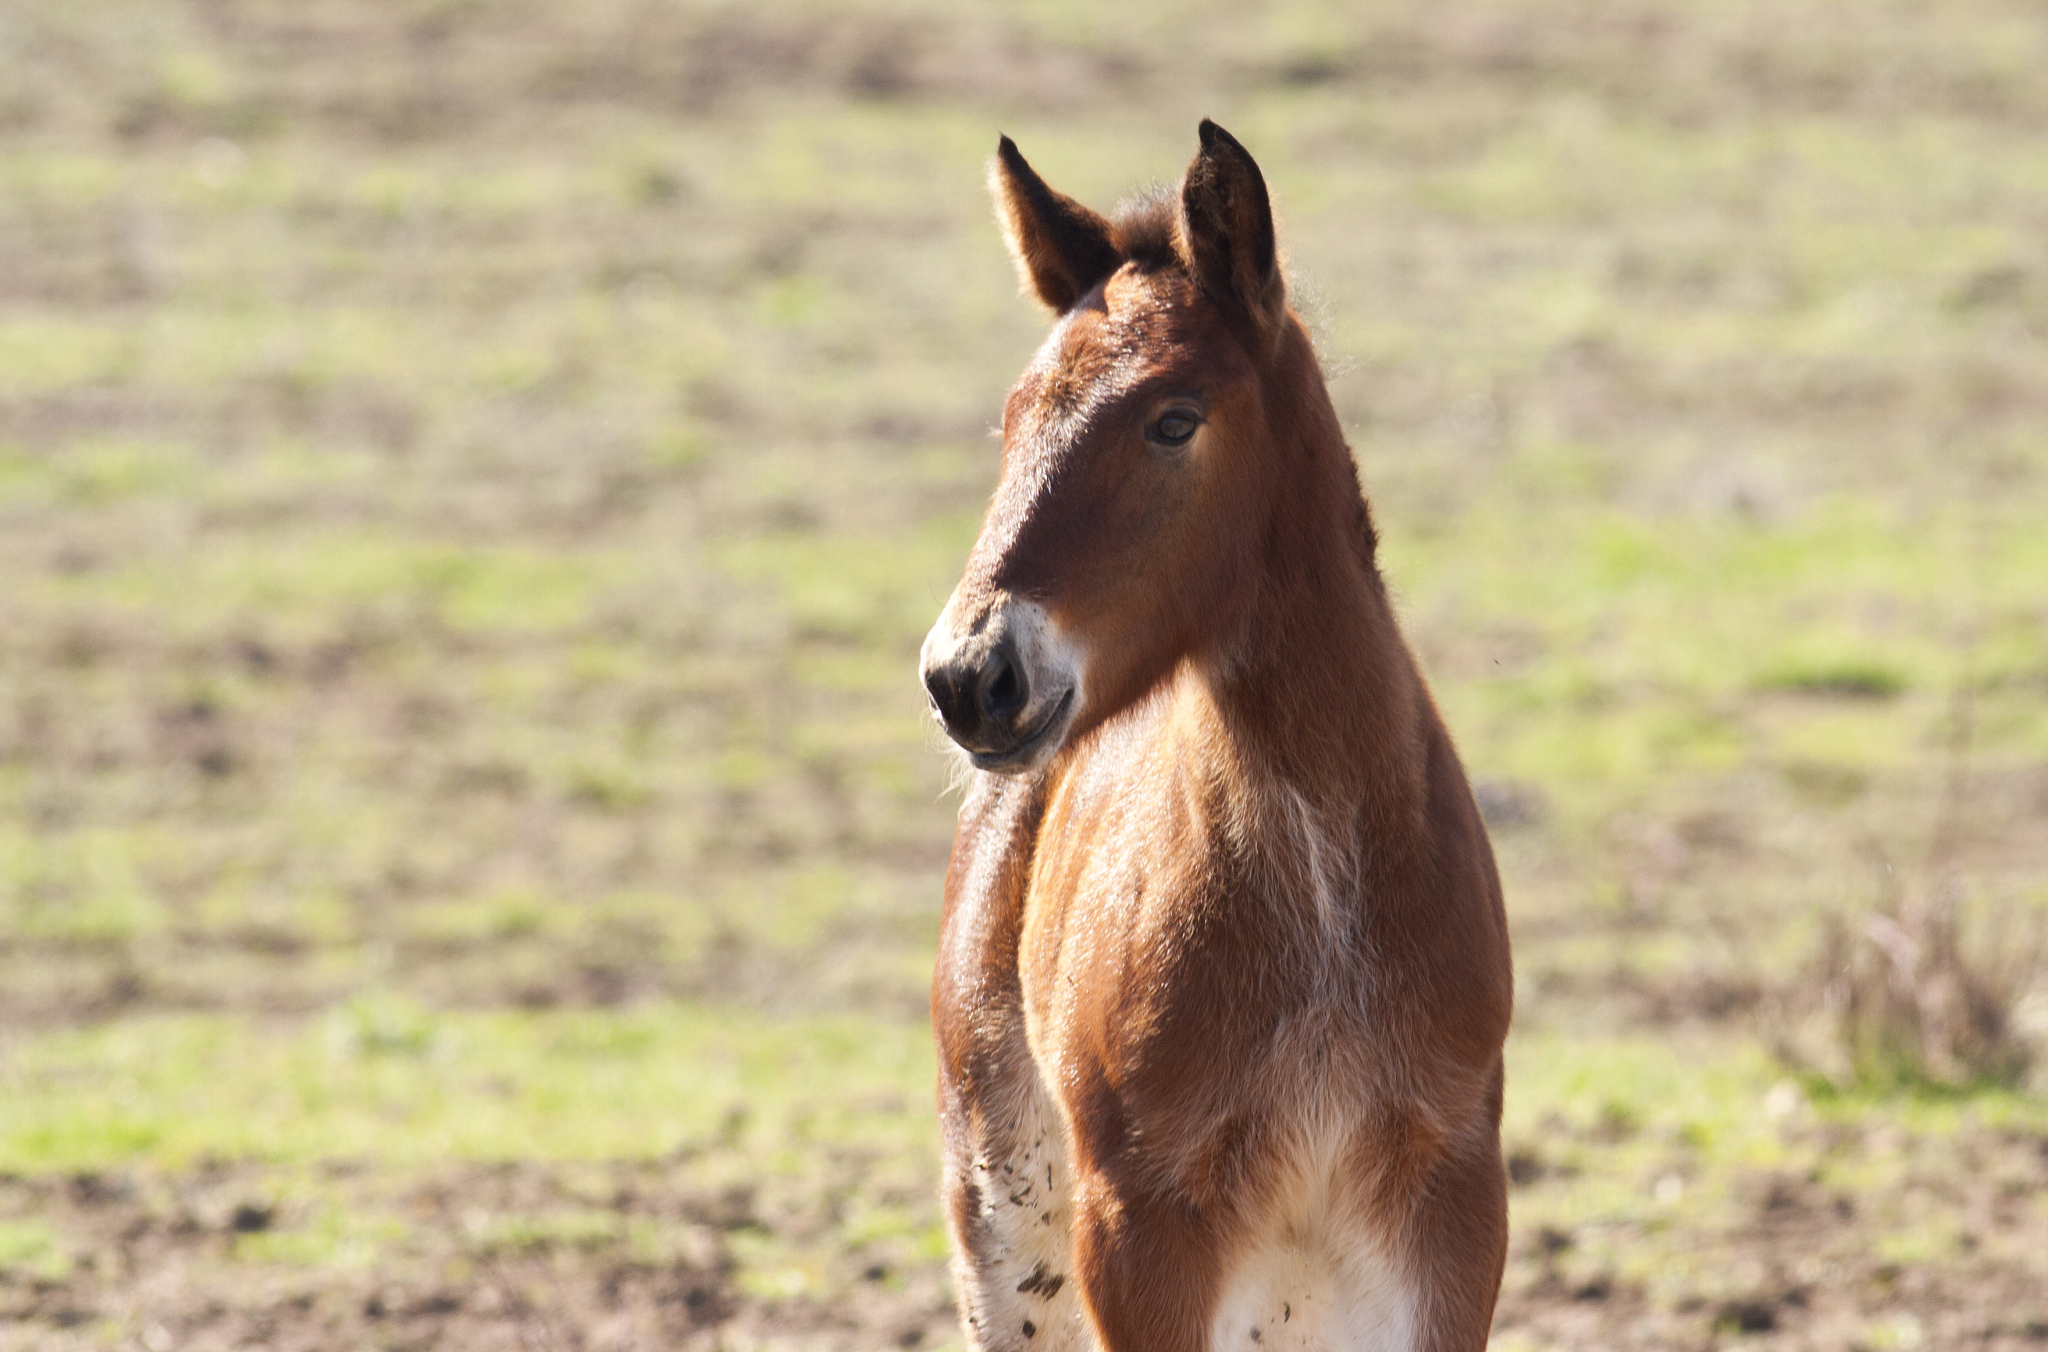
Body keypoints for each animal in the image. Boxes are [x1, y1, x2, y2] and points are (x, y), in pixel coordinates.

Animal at [919, 121, 1513, 1352]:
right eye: (1013, 419)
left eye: (1174, 418)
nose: (970, 678)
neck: (1325, 904)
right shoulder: (1140, 1232)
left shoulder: (1453, 1217)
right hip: (1007, 1234)